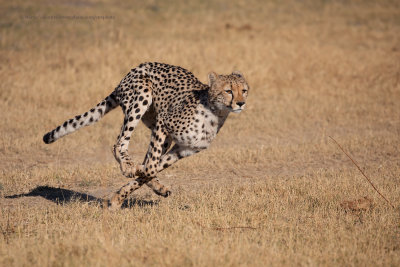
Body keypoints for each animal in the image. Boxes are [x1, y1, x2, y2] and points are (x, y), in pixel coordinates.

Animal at [44, 62, 250, 209]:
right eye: (228, 91)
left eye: (244, 90)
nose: (241, 103)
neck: (215, 113)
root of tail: (137, 67)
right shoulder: (163, 123)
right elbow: (149, 168)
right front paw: (135, 172)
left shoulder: (183, 149)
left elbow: (152, 167)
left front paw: (119, 197)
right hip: (141, 99)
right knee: (119, 143)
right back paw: (128, 166)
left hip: (159, 130)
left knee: (146, 156)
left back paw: (154, 184)